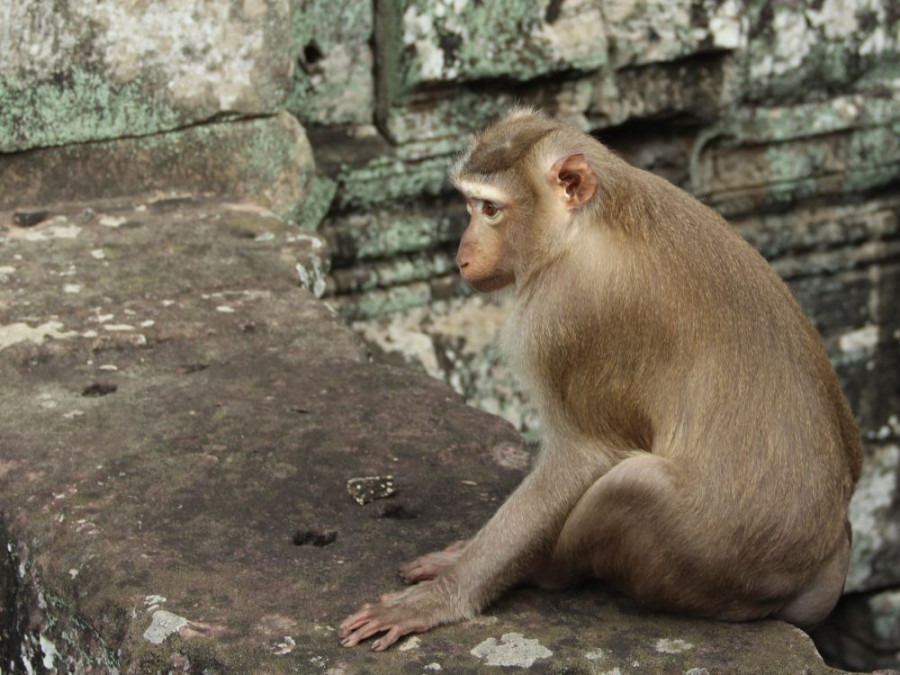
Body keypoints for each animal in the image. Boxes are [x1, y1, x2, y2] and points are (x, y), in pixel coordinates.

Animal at [338, 108, 864, 652]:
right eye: (470, 204)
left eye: (490, 208)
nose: (462, 255)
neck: (586, 223)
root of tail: (824, 561)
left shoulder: (562, 317)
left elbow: (583, 455)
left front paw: (444, 596)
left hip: (723, 562)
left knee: (632, 485)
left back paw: (544, 569)